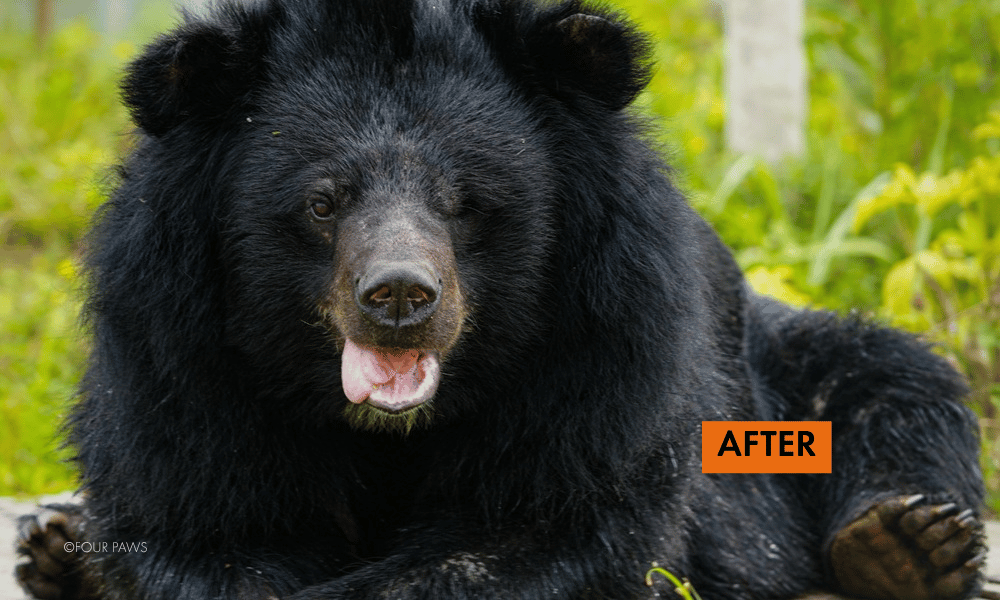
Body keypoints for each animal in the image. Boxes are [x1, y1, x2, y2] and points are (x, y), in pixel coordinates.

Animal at [14, 0, 987, 598]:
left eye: (465, 202)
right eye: (323, 203)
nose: (399, 296)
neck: (393, 429)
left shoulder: (603, 353)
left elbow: (539, 530)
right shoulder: (178, 361)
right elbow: (209, 521)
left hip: (780, 370)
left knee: (893, 379)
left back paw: (906, 544)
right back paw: (60, 552)